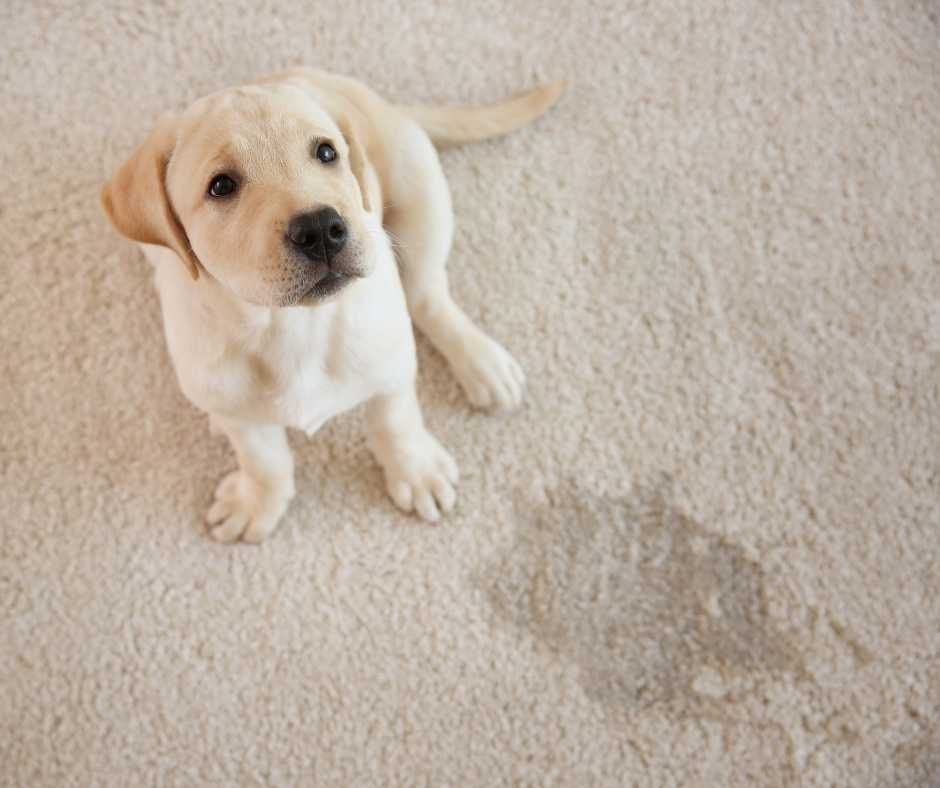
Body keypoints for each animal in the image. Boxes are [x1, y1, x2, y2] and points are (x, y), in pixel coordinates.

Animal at [101, 69, 564, 540]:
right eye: (221, 186)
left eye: (326, 152)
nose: (321, 228)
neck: (290, 327)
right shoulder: (234, 407)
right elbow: (264, 460)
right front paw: (258, 502)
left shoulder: (391, 368)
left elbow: (395, 422)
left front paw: (415, 471)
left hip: (421, 195)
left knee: (427, 295)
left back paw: (482, 363)